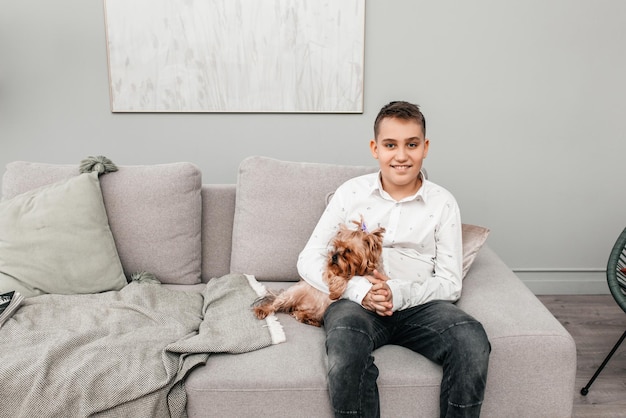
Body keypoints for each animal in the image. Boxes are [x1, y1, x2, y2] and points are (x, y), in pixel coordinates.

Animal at [251, 217, 382, 328]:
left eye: (349, 250)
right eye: (336, 247)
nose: (334, 256)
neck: (353, 271)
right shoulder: (329, 269)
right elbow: (339, 275)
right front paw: (337, 289)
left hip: (319, 311)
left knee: (304, 312)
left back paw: (307, 318)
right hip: (293, 294)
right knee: (276, 302)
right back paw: (263, 310)